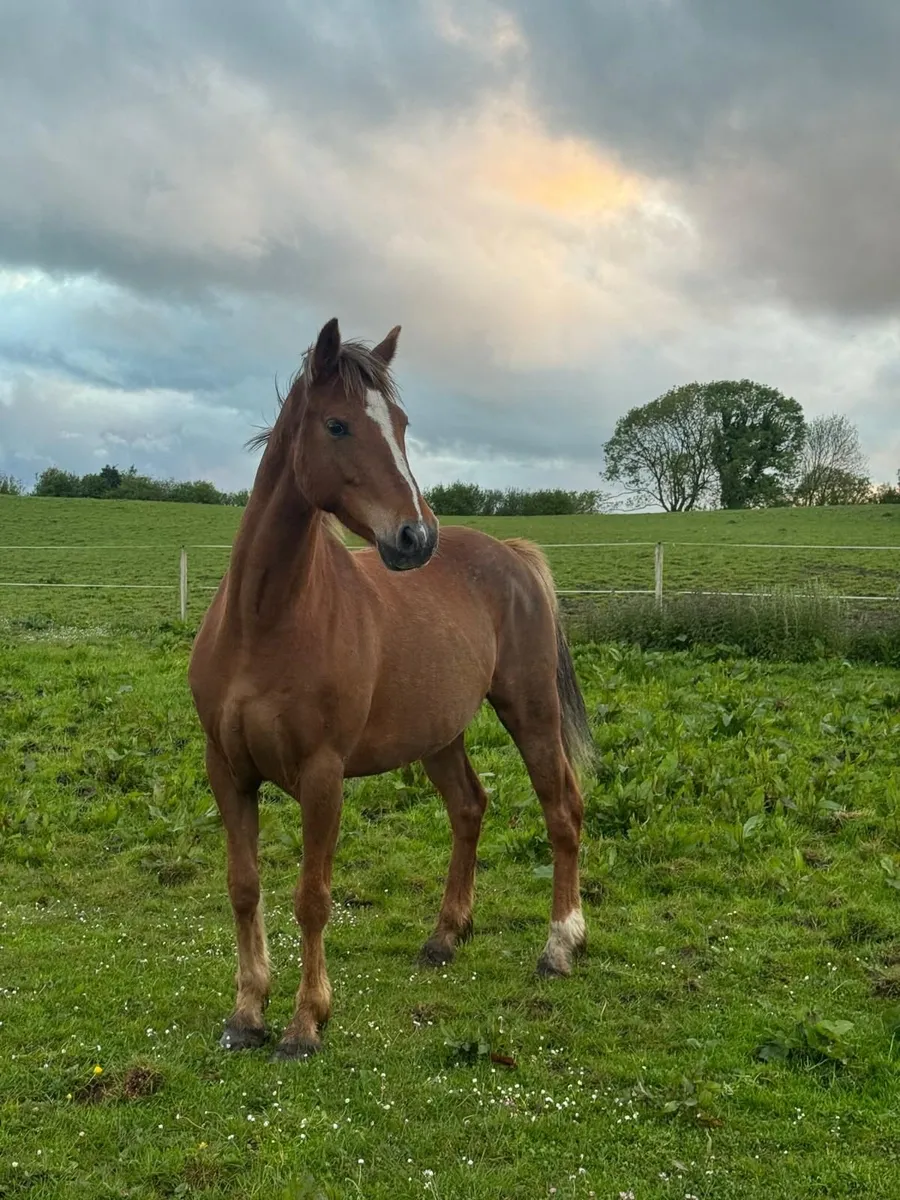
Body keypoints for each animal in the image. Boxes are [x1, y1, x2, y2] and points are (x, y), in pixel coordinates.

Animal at [188, 317, 593, 1060]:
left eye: (400, 424)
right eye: (338, 424)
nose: (415, 537)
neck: (265, 621)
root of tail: (514, 556)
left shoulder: (323, 776)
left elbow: (312, 896)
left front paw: (305, 1022)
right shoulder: (227, 769)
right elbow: (243, 886)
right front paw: (247, 1013)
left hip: (530, 710)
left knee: (562, 810)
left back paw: (560, 946)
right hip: (439, 733)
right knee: (469, 807)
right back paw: (446, 935)